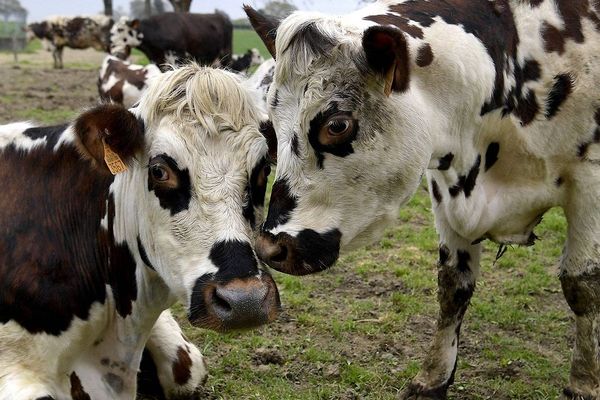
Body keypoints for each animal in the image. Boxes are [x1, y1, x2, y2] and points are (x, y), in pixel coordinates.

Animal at [246, 0, 600, 396]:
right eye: (271, 126)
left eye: (336, 125)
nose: (270, 247)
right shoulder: (448, 190)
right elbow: (453, 286)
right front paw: (433, 377)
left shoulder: (589, 182)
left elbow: (582, 285)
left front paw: (584, 382)